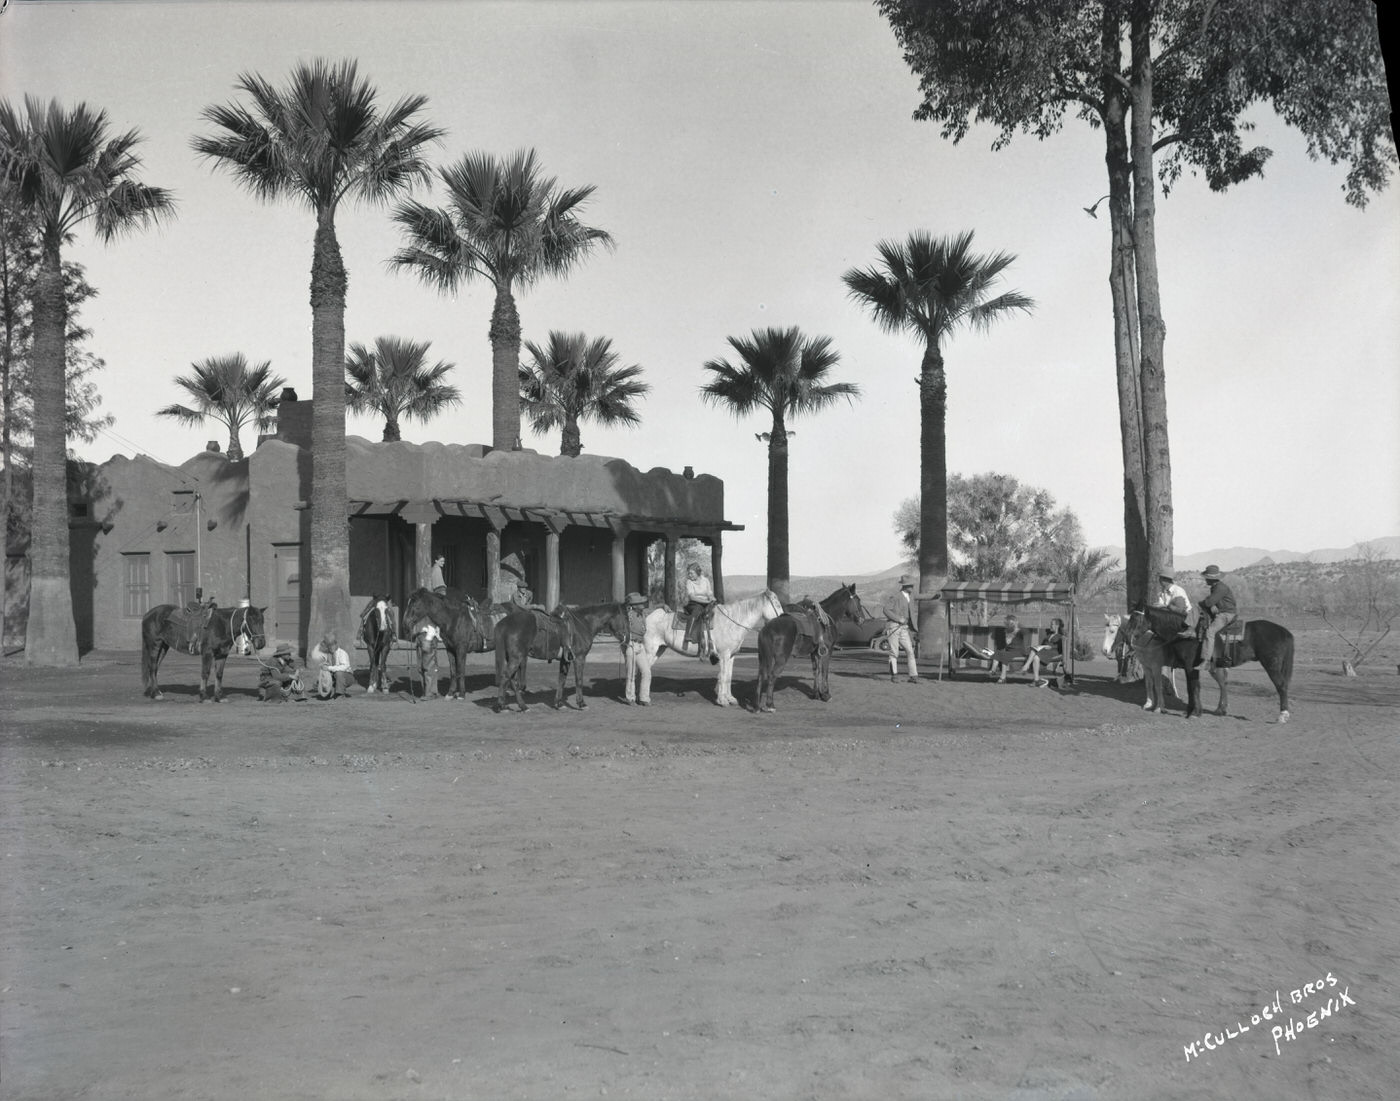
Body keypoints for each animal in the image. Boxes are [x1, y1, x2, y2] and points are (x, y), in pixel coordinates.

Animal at [139, 599, 267, 703]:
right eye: (252, 620)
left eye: (262, 621)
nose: (261, 643)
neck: (222, 624)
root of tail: (147, 615)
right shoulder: (207, 653)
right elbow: (205, 673)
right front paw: (204, 696)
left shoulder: (222, 654)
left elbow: (219, 674)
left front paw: (219, 696)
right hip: (154, 645)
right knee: (153, 667)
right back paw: (156, 693)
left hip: (163, 647)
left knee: (155, 668)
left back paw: (153, 691)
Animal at [632, 591, 789, 703]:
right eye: (776, 603)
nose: (784, 618)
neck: (732, 622)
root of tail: (646, 617)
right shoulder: (724, 656)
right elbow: (724, 676)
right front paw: (722, 700)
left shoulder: (731, 656)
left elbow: (728, 676)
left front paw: (730, 699)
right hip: (649, 650)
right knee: (641, 670)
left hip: (659, 650)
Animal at [756, 582, 862, 711]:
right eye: (858, 600)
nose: (861, 619)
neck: (826, 622)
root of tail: (767, 629)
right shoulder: (828, 651)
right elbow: (824, 672)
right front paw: (826, 695)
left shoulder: (815, 652)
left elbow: (816, 671)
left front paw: (816, 694)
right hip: (780, 659)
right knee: (772, 676)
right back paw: (770, 705)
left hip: (763, 657)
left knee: (761, 676)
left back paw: (757, 706)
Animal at [1120, 599, 1293, 722]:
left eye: (1136, 618)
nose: (1127, 637)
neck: (1186, 634)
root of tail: (1285, 631)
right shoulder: (1184, 667)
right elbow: (1191, 688)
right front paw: (1191, 710)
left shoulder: (1188, 667)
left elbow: (1194, 688)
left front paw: (1195, 712)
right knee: (1223, 683)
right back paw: (1220, 710)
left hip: (1271, 665)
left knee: (1281, 686)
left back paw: (1282, 715)